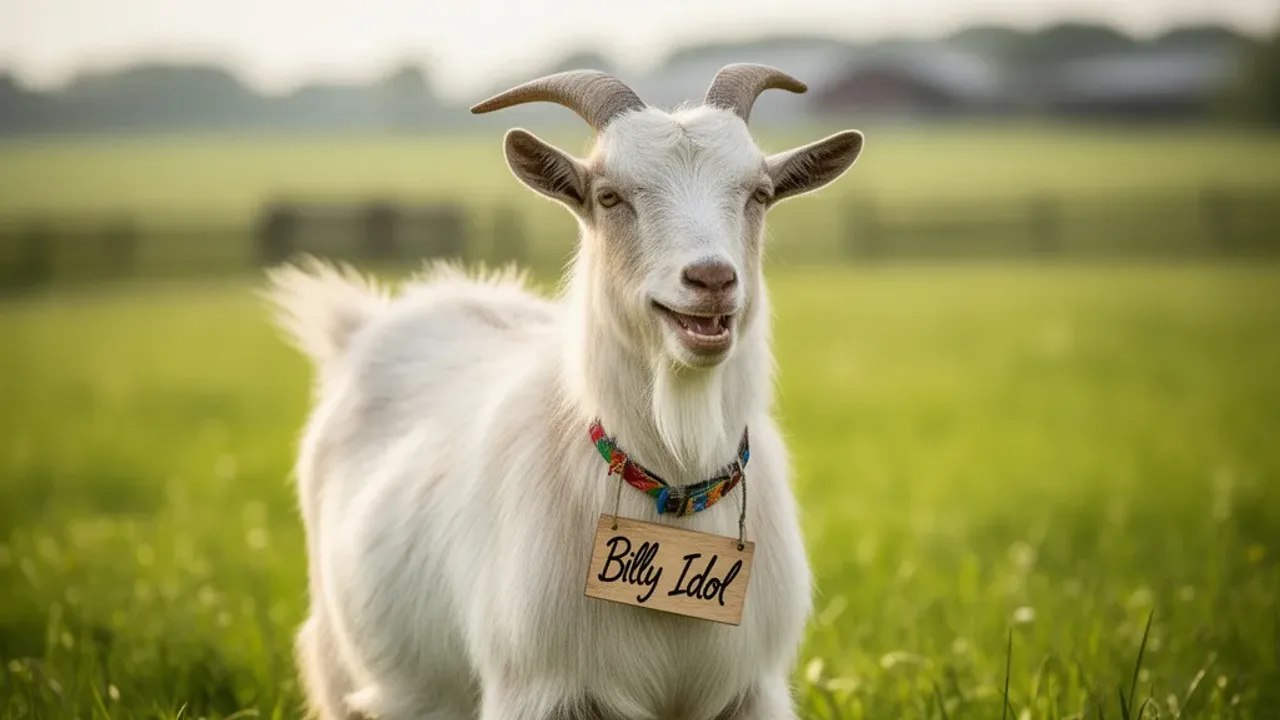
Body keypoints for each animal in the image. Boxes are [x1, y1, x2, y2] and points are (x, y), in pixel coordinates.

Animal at [266, 64, 864, 720]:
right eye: (609, 196)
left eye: (759, 192)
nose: (711, 279)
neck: (675, 487)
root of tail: (362, 325)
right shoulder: (536, 689)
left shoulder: (753, 690)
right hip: (337, 662)